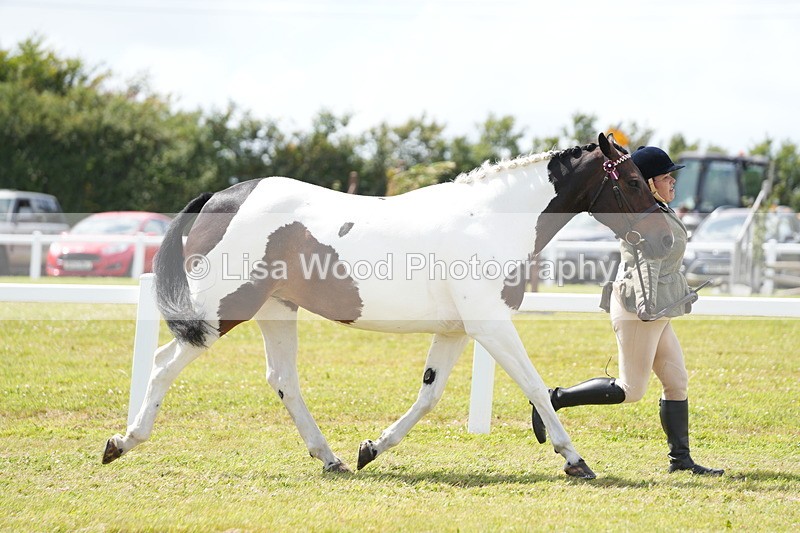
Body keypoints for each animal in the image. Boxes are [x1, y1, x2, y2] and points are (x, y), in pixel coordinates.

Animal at [103, 132, 673, 479]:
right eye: (631, 181)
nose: (666, 238)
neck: (487, 221)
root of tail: (224, 197)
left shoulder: (457, 330)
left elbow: (429, 395)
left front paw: (371, 449)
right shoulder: (490, 325)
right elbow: (533, 384)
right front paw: (575, 458)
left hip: (276, 309)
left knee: (283, 379)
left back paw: (331, 458)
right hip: (224, 308)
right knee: (165, 364)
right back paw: (123, 442)